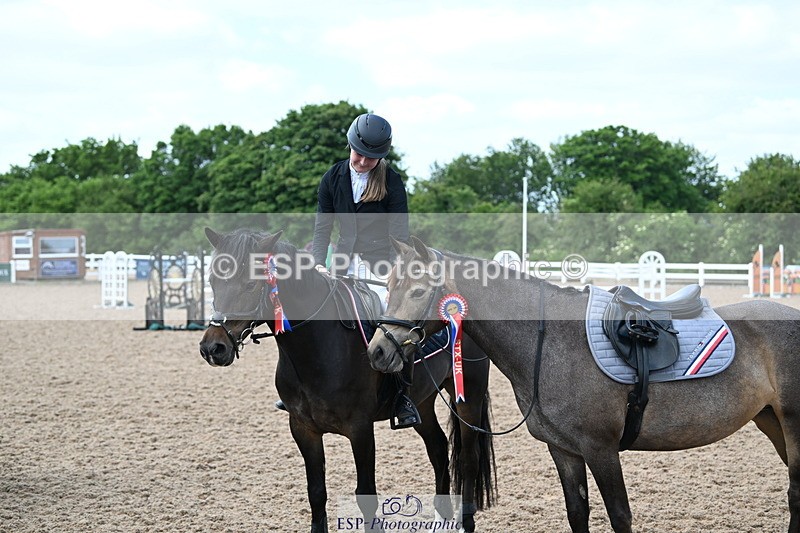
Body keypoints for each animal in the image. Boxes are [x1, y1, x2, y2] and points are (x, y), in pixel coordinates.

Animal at [198, 228, 497, 533]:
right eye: (212, 281)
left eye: (249, 285)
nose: (213, 348)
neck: (317, 349)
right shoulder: (303, 429)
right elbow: (316, 492)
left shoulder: (360, 428)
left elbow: (366, 495)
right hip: (422, 401)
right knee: (437, 448)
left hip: (468, 396)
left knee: (468, 459)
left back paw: (465, 521)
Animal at [366, 235, 800, 533]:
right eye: (388, 286)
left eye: (418, 290)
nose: (378, 351)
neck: (552, 342)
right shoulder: (565, 450)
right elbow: (578, 513)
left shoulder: (601, 449)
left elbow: (620, 516)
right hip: (771, 421)